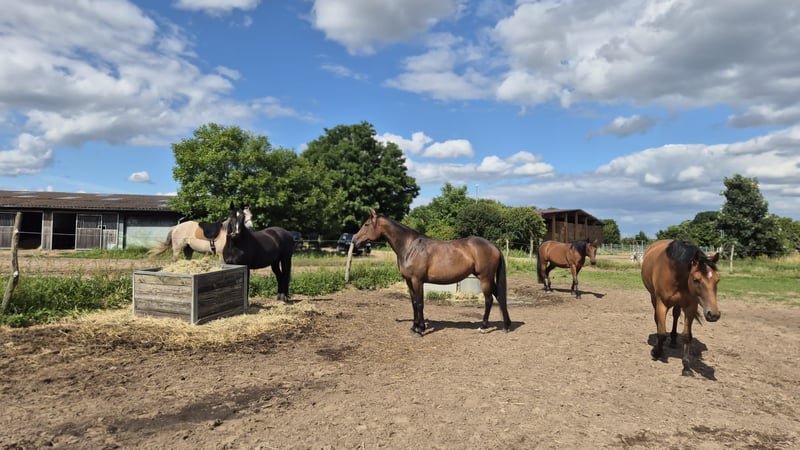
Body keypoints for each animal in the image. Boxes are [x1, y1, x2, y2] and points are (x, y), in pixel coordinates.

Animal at [353, 208, 511, 336]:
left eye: (366, 224)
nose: (354, 240)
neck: (410, 247)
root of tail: (493, 245)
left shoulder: (417, 280)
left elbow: (420, 303)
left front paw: (420, 329)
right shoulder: (409, 281)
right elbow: (414, 303)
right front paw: (414, 327)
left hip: (485, 278)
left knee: (489, 300)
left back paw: (483, 327)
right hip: (488, 279)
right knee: (499, 296)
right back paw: (506, 325)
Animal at [641, 239, 721, 376]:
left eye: (717, 280)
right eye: (696, 280)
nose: (714, 315)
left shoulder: (691, 307)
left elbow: (687, 336)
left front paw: (686, 367)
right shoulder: (661, 303)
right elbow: (661, 333)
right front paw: (656, 352)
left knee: (676, 315)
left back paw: (673, 340)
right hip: (653, 297)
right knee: (657, 319)